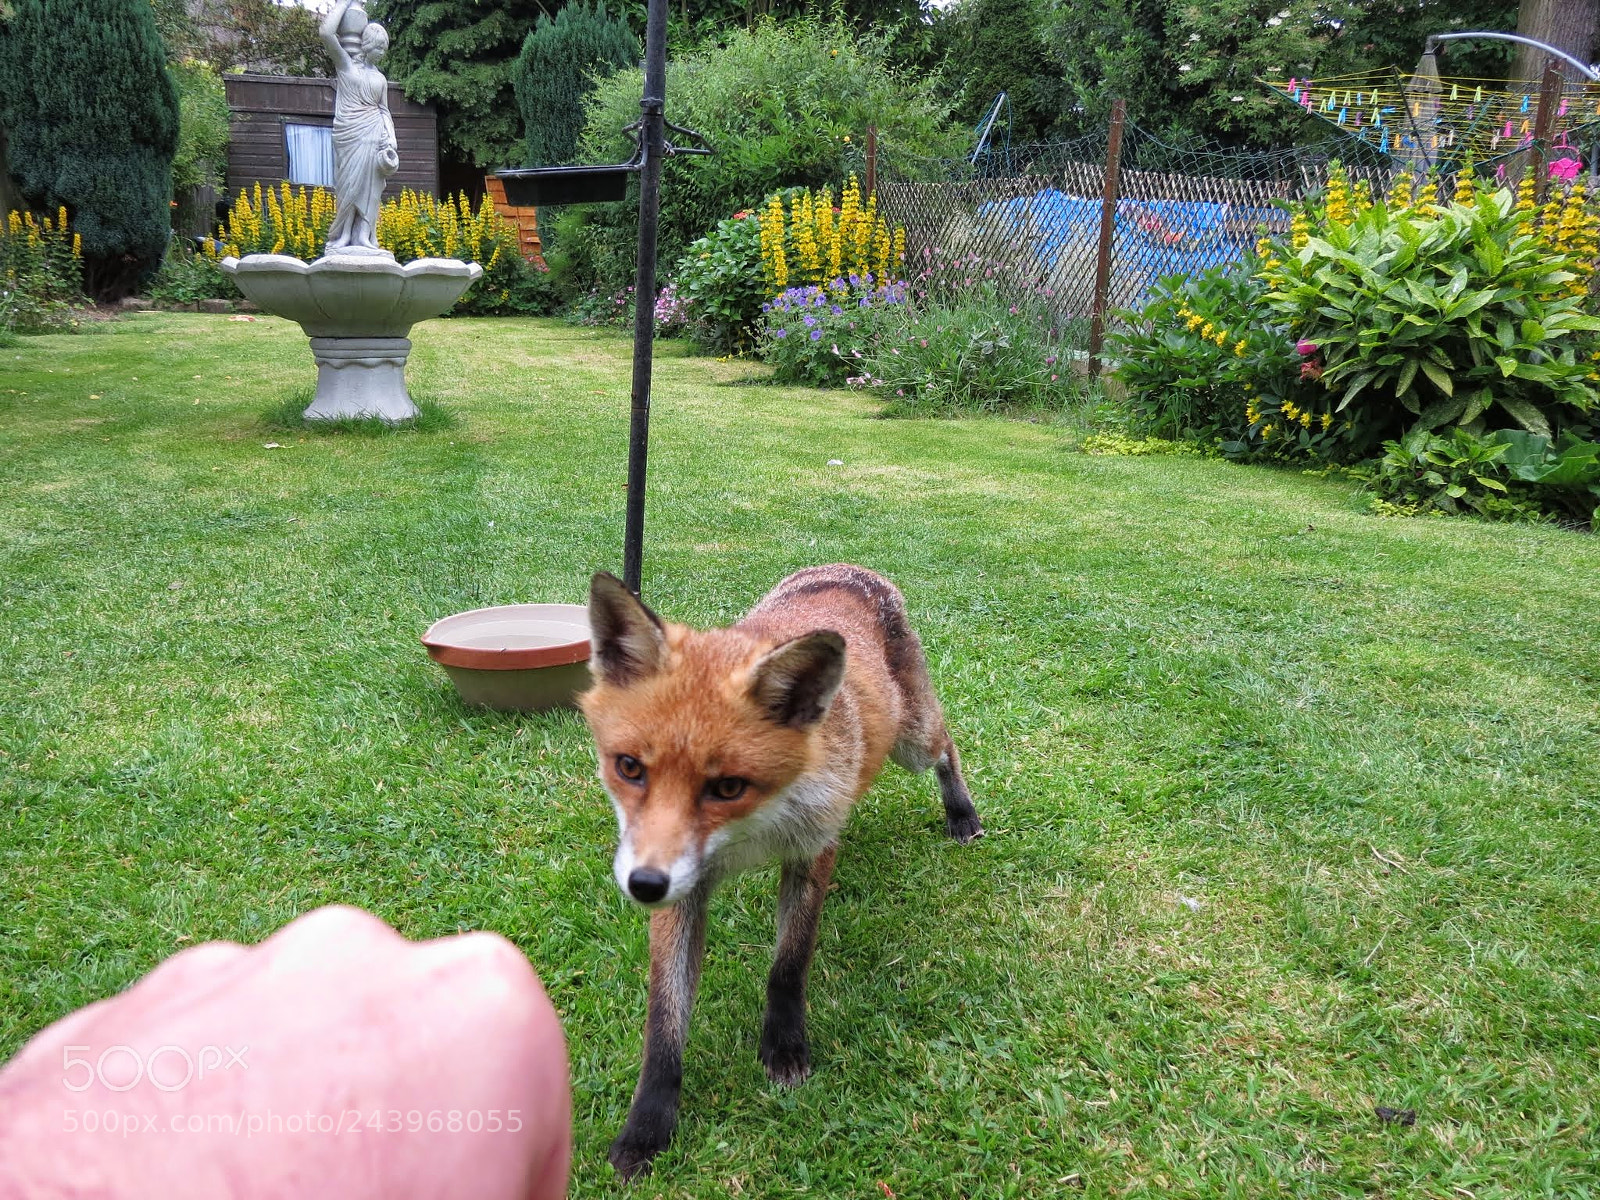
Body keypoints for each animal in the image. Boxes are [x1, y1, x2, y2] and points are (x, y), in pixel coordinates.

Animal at [579, 563, 983, 1179]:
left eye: (727, 787)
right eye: (629, 768)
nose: (644, 887)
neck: (754, 834)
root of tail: (849, 570)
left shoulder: (809, 852)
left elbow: (789, 963)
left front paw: (785, 1046)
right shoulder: (683, 890)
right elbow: (664, 1025)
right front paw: (648, 1127)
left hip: (911, 742)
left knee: (947, 746)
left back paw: (962, 813)